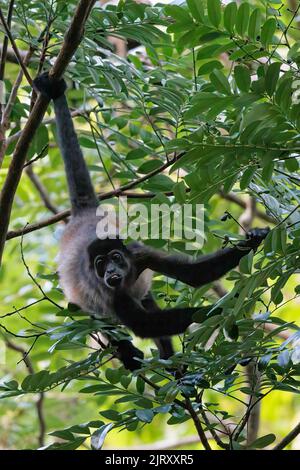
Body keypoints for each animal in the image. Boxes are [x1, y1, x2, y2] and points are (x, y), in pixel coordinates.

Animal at [32, 73, 270, 372]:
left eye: (115, 257)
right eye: (100, 264)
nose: (111, 272)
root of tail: (84, 216)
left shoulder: (138, 253)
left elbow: (194, 275)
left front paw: (254, 239)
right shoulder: (107, 292)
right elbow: (145, 325)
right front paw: (215, 311)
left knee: (150, 303)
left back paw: (173, 365)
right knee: (102, 319)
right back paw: (131, 355)